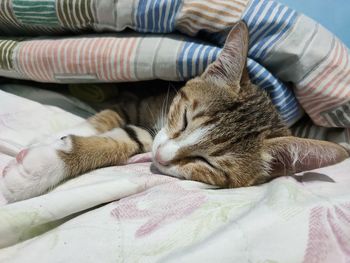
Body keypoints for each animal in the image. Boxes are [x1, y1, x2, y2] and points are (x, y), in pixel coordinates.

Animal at [1, 21, 348, 203]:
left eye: (207, 163)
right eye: (184, 119)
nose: (162, 157)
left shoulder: (150, 135)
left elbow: (129, 139)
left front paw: (37, 168)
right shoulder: (141, 103)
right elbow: (109, 118)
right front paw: (53, 138)